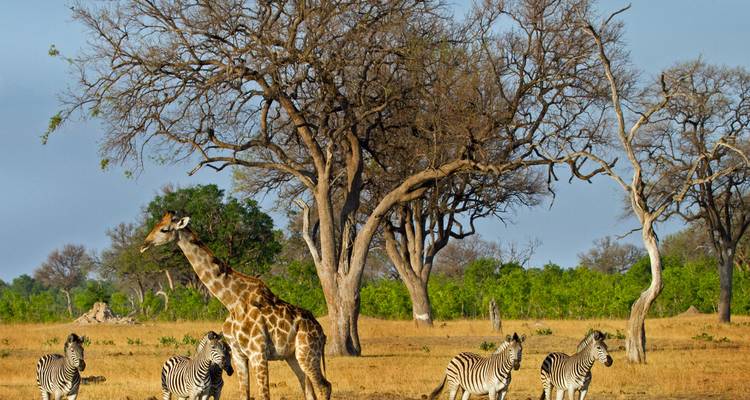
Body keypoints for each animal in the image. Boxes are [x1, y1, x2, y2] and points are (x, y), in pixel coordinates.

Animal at [141, 211, 331, 400]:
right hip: (293, 356)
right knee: (308, 389)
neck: (232, 301)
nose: (144, 245)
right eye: (156, 224)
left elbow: (264, 395)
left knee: (324, 386)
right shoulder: (238, 355)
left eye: (164, 229)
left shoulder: (258, 353)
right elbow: (244, 394)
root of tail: (322, 333)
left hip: (308, 353)